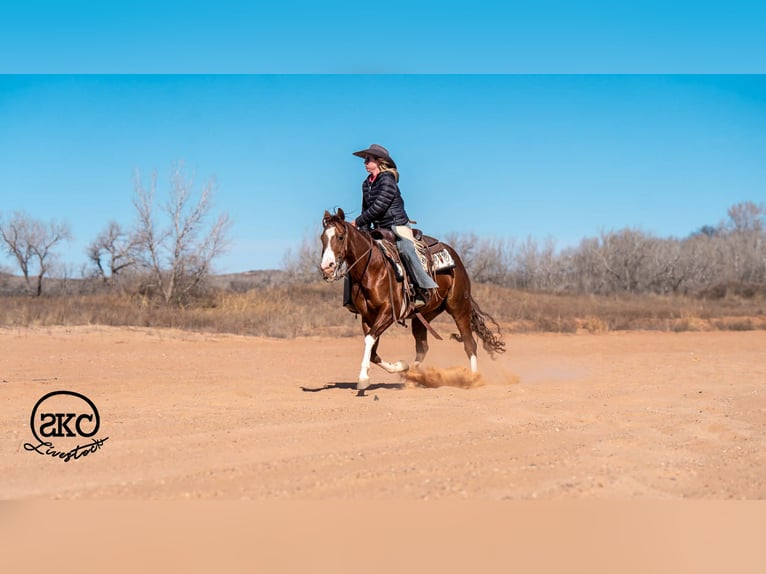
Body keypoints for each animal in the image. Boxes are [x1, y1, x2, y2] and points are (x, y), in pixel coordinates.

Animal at [320, 208, 505, 391]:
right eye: (322, 238)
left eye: (340, 237)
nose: (326, 267)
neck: (373, 267)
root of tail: (457, 260)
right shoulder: (367, 317)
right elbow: (372, 350)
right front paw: (401, 366)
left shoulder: (389, 312)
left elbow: (370, 340)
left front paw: (364, 378)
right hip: (423, 316)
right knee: (423, 347)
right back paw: (412, 377)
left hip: (459, 308)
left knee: (469, 343)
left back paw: (473, 379)